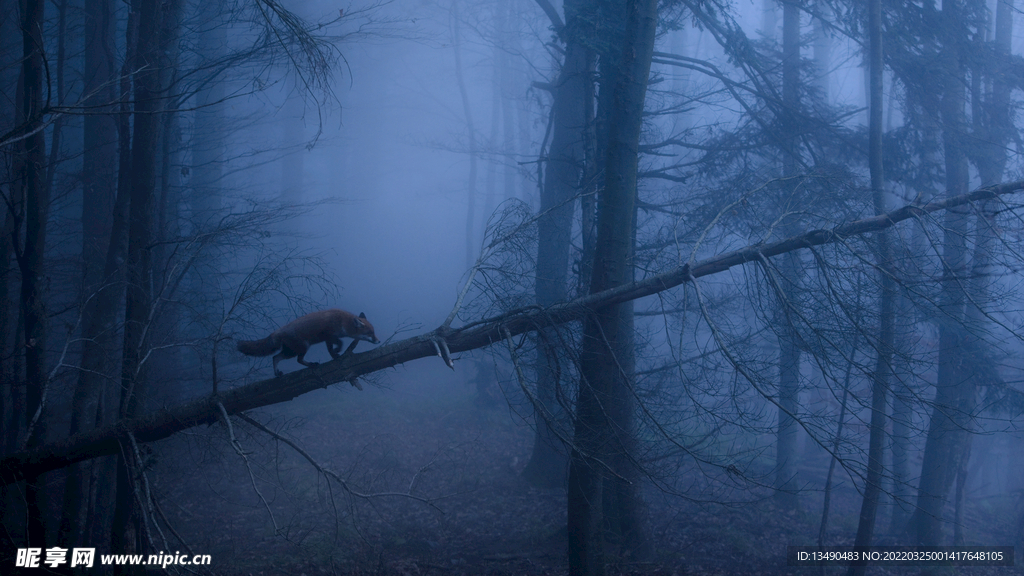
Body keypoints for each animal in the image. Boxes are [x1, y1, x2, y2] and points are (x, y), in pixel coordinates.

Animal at [235, 307, 380, 375]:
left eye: (374, 332)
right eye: (370, 333)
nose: (378, 341)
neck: (342, 321)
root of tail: (278, 331)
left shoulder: (328, 339)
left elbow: (331, 350)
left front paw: (335, 356)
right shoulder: (329, 335)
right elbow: (340, 343)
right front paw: (338, 351)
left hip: (291, 351)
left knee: (275, 357)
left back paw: (277, 374)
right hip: (301, 348)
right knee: (296, 360)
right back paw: (311, 365)